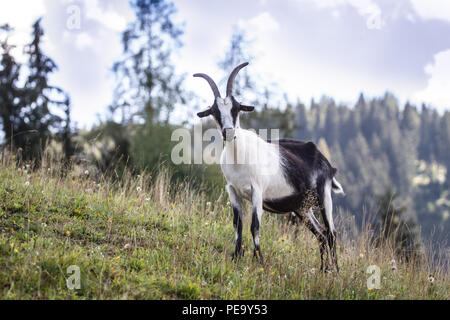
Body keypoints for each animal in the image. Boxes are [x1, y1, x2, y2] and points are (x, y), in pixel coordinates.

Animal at [193, 63, 344, 272]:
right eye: (215, 111)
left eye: (237, 108)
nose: (229, 132)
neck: (239, 156)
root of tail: (326, 163)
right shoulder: (232, 190)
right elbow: (237, 225)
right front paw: (236, 258)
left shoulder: (257, 190)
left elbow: (254, 226)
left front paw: (259, 262)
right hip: (302, 208)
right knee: (320, 234)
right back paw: (323, 271)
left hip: (324, 195)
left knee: (331, 233)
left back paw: (335, 271)